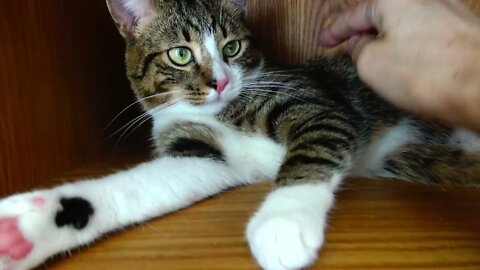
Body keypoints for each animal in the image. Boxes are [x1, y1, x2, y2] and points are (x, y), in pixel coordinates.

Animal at [0, 0, 480, 270]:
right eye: (180, 54)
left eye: (232, 47)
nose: (220, 81)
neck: (220, 112)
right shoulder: (200, 153)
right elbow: (144, 184)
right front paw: (28, 229)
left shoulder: (316, 105)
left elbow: (310, 152)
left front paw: (284, 221)